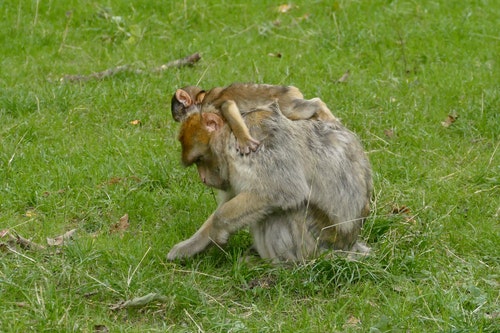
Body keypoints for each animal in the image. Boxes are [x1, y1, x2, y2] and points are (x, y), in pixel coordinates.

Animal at [168, 102, 372, 262]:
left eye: (199, 160)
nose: (202, 178)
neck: (230, 135)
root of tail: (348, 245)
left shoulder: (256, 145)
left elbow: (283, 189)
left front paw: (218, 230)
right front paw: (194, 244)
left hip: (312, 244)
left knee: (282, 210)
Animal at [170, 84, 338, 154]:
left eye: (180, 117)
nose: (182, 121)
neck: (202, 101)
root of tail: (290, 89)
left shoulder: (210, 104)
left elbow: (227, 105)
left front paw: (244, 141)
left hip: (286, 103)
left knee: (300, 108)